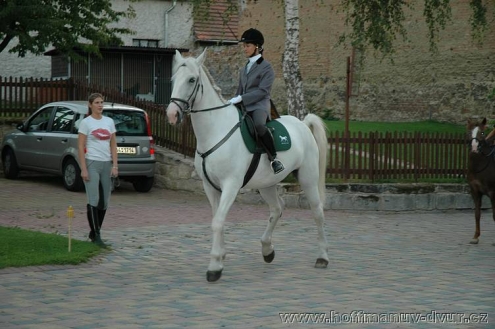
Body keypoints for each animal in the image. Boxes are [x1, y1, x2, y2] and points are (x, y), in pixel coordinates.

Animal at [167, 50, 330, 280]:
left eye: (191, 80)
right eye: (174, 79)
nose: (172, 115)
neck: (215, 130)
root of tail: (302, 124)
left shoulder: (231, 185)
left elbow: (218, 221)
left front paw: (214, 267)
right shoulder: (210, 187)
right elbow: (217, 219)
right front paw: (220, 257)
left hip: (308, 179)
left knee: (317, 212)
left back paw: (322, 257)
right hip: (267, 184)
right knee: (277, 209)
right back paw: (267, 250)